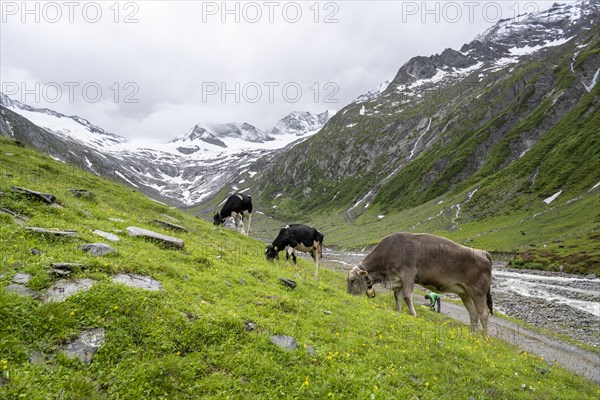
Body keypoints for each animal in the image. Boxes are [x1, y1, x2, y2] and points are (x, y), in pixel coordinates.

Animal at [346, 233, 492, 336]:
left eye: (352, 280)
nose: (348, 296)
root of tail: (482, 252)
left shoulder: (408, 273)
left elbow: (407, 296)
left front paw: (413, 314)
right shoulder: (397, 280)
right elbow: (397, 297)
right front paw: (398, 311)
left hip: (478, 291)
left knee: (483, 313)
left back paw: (484, 338)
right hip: (464, 292)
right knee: (473, 313)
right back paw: (473, 335)